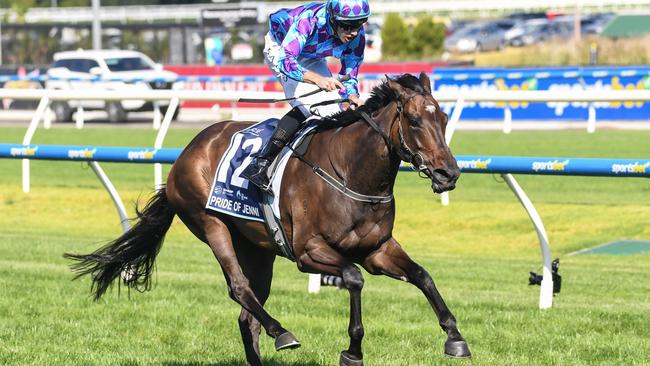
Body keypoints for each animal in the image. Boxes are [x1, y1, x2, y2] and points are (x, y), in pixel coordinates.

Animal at [66, 73, 468, 364]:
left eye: (444, 117)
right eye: (414, 120)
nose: (448, 173)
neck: (351, 172)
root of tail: (187, 152)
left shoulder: (378, 249)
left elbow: (423, 276)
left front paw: (455, 337)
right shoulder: (309, 252)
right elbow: (354, 279)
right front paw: (353, 350)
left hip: (258, 248)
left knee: (247, 316)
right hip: (211, 224)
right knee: (240, 289)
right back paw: (282, 332)